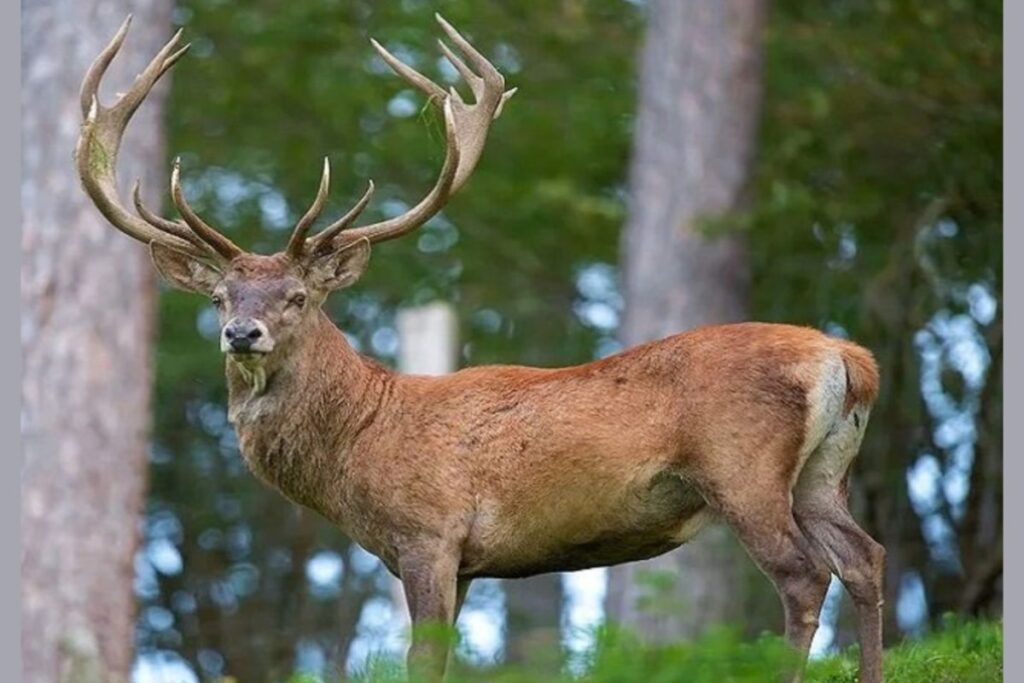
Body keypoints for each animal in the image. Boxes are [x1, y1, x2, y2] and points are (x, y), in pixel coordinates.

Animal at [75, 14, 886, 683]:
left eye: (298, 297)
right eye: (220, 297)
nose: (242, 333)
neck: (359, 441)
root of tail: (850, 360)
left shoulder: (429, 534)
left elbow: (422, 661)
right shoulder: (463, 562)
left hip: (742, 467)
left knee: (803, 576)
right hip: (822, 474)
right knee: (866, 559)